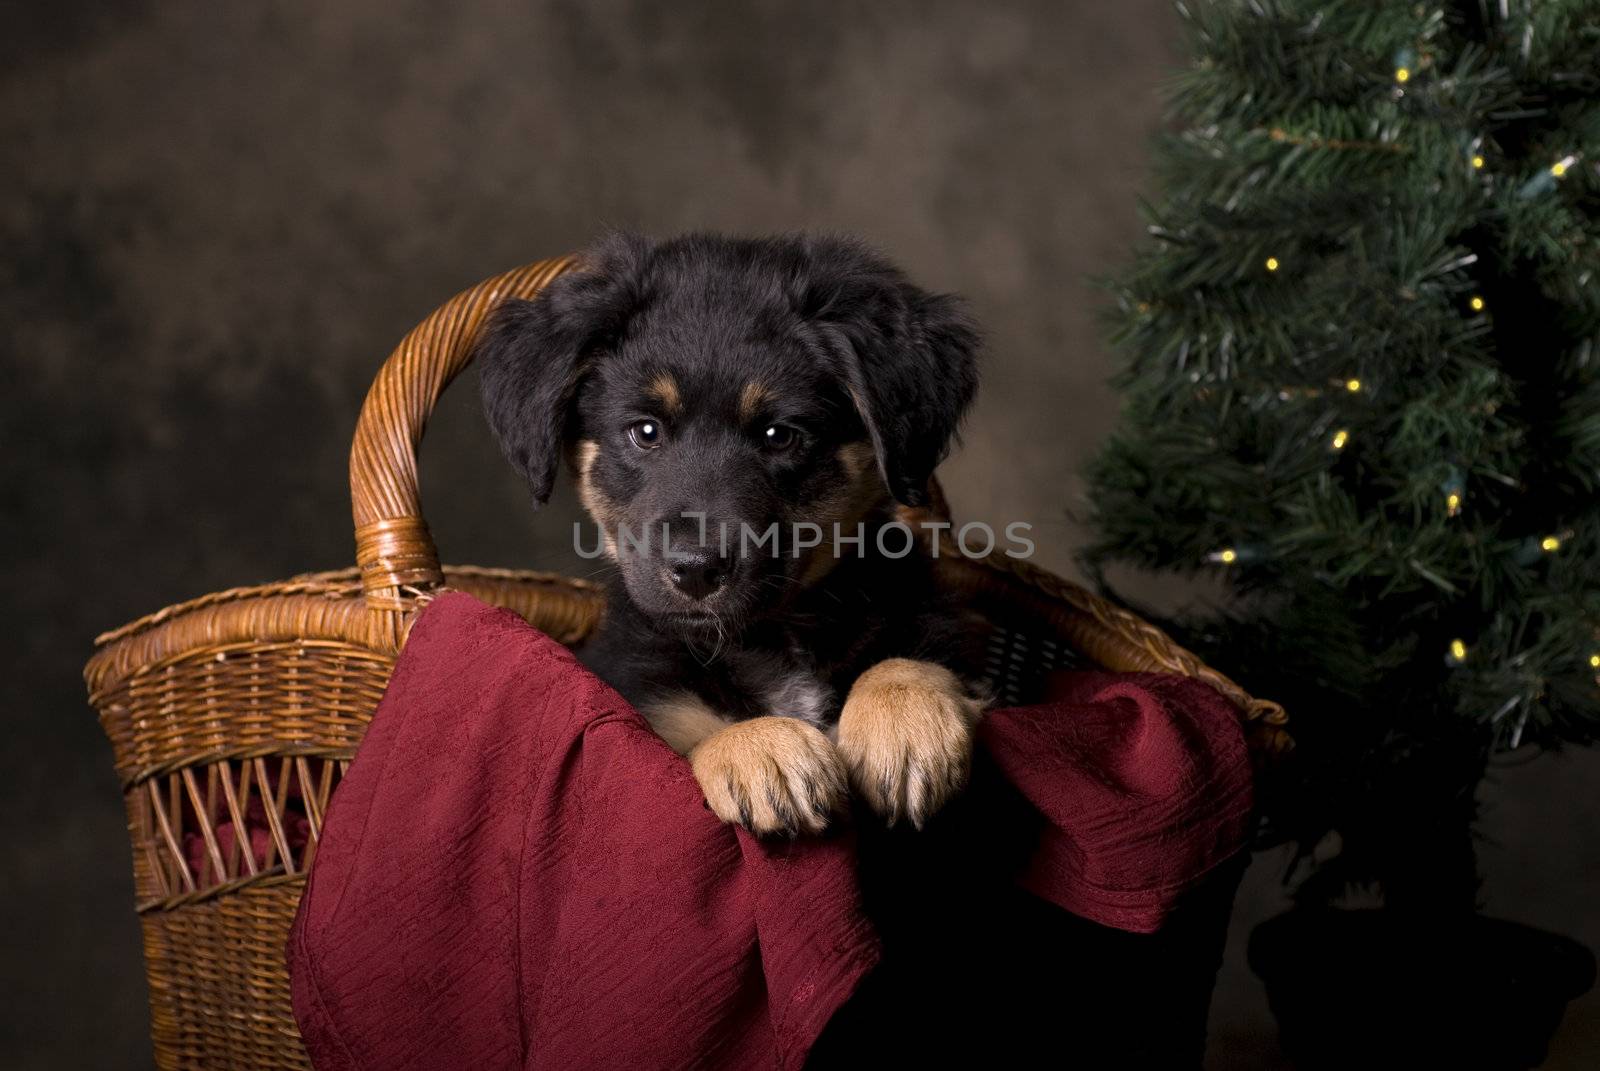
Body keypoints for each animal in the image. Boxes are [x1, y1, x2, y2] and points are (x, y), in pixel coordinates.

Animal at [473, 232, 985, 832]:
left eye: (780, 435)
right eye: (645, 431)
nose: (696, 570)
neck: (769, 637)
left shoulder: (937, 633)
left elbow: (909, 660)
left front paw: (904, 726)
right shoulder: (644, 692)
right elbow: (696, 726)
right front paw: (761, 749)